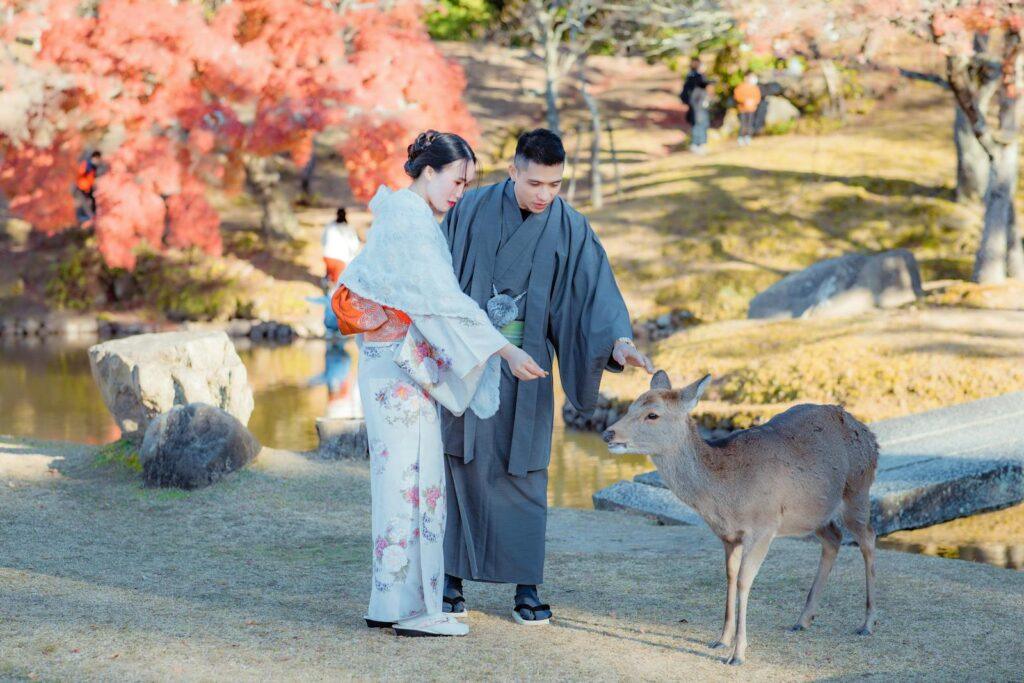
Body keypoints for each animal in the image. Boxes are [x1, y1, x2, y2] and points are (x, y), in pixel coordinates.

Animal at [598, 370, 880, 663]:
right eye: (630, 407)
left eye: (652, 414)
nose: (608, 433)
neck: (727, 496)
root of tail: (871, 437)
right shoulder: (728, 535)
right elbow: (730, 577)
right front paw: (721, 640)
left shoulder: (765, 526)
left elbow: (745, 580)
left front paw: (738, 653)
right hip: (813, 514)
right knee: (833, 538)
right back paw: (803, 619)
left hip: (857, 492)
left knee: (868, 538)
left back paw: (867, 623)